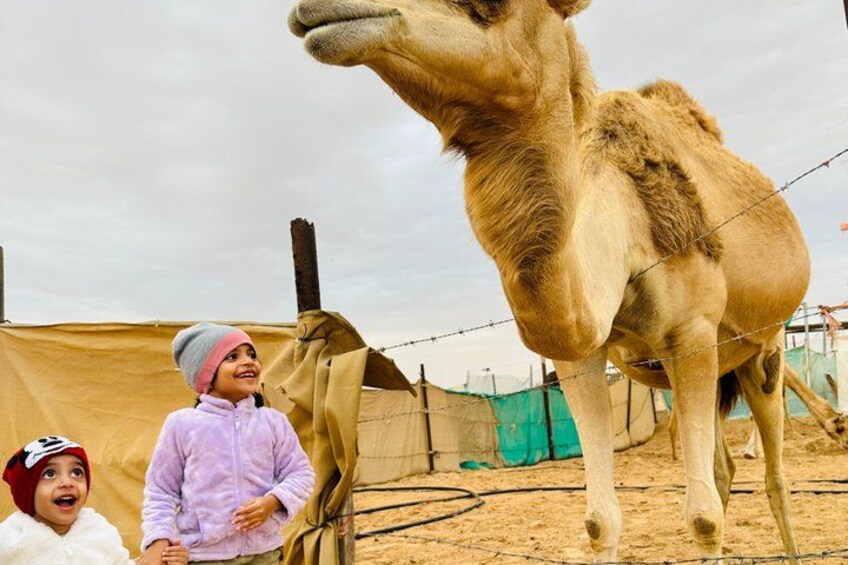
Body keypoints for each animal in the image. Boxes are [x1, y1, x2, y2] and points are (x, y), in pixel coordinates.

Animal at [288, 0, 811, 560]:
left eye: (488, 7)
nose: (313, 13)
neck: (626, 234)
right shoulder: (582, 356)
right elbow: (601, 520)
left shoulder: (690, 333)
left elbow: (704, 519)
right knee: (723, 469)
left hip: (764, 348)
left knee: (775, 477)